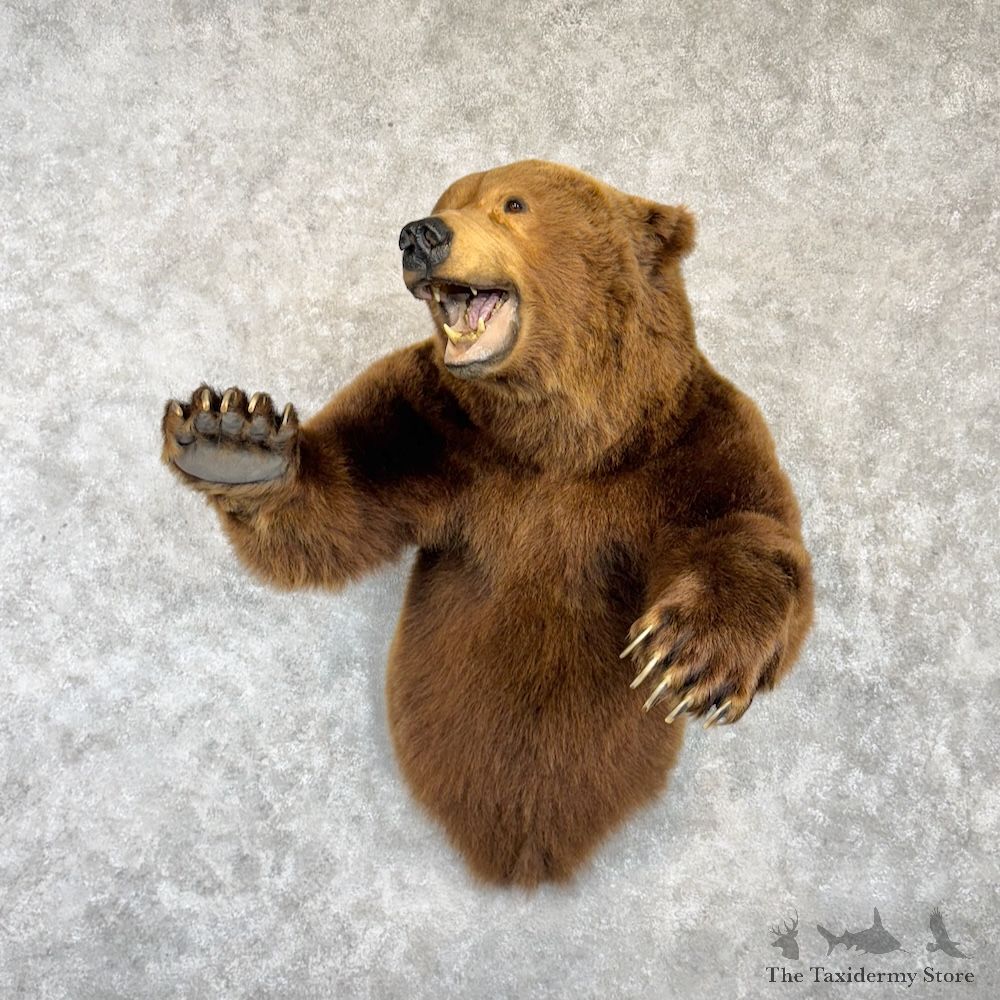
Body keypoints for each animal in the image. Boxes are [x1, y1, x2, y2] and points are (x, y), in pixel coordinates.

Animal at [161, 159, 814, 887]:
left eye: (514, 203)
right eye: (449, 198)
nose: (419, 234)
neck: (562, 440)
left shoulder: (689, 438)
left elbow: (752, 527)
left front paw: (690, 658)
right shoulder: (436, 425)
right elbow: (344, 502)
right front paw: (232, 436)